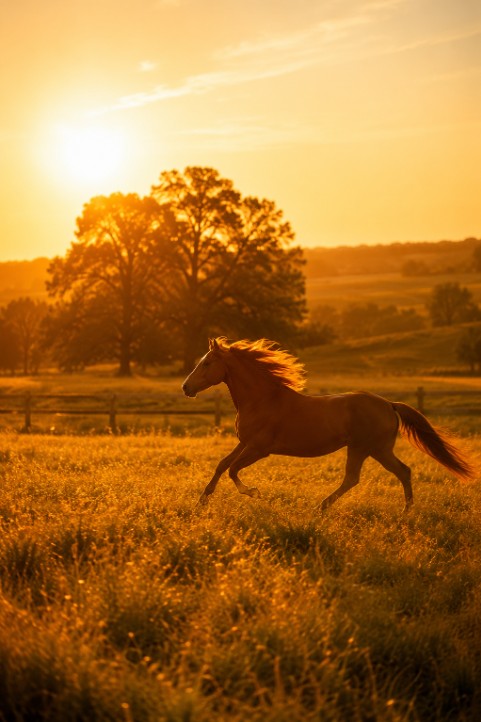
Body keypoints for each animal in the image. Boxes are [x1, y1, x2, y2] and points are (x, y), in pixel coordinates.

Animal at [182, 337, 475, 511]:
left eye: (207, 363)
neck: (263, 399)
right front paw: (202, 500)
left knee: (378, 475)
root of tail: (389, 405)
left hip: (368, 448)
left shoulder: (259, 448)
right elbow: (222, 465)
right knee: (386, 474)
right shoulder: (244, 442)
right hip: (371, 449)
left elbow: (233, 470)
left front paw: (253, 492)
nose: (186, 387)